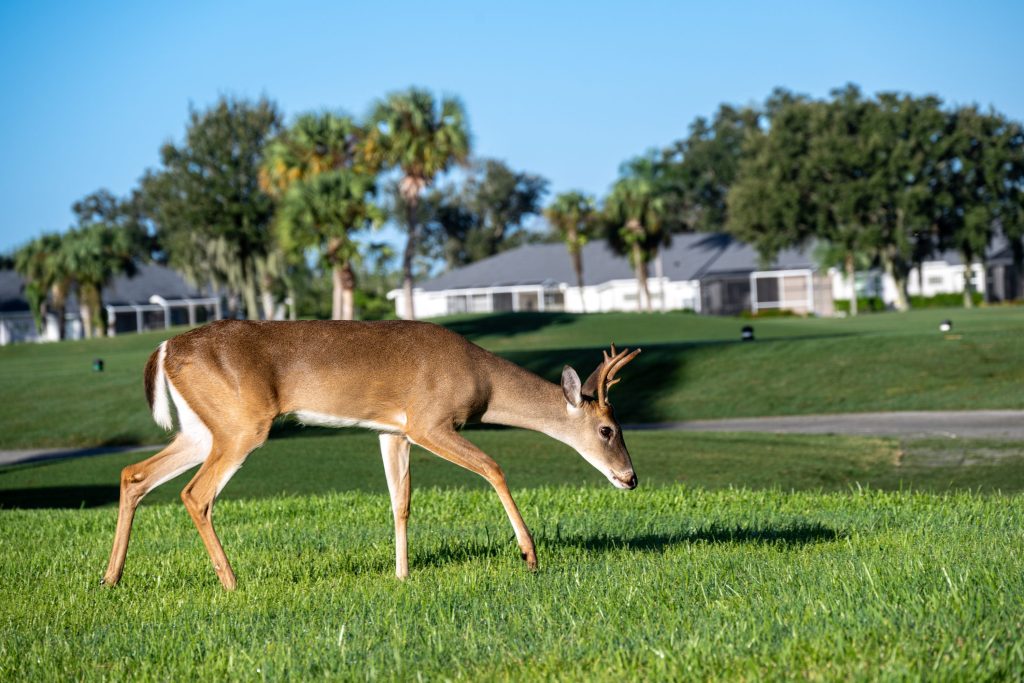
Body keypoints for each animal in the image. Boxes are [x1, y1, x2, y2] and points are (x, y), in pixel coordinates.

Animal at [102, 319, 641, 590]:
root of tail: (164, 349)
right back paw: (231, 583)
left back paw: (111, 578)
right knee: (196, 495)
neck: (481, 379)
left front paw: (402, 575)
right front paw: (529, 556)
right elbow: (493, 467)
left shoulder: (392, 430)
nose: (631, 478)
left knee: (134, 474)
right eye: (608, 429)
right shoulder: (429, 421)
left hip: (202, 428)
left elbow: (400, 501)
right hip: (241, 424)